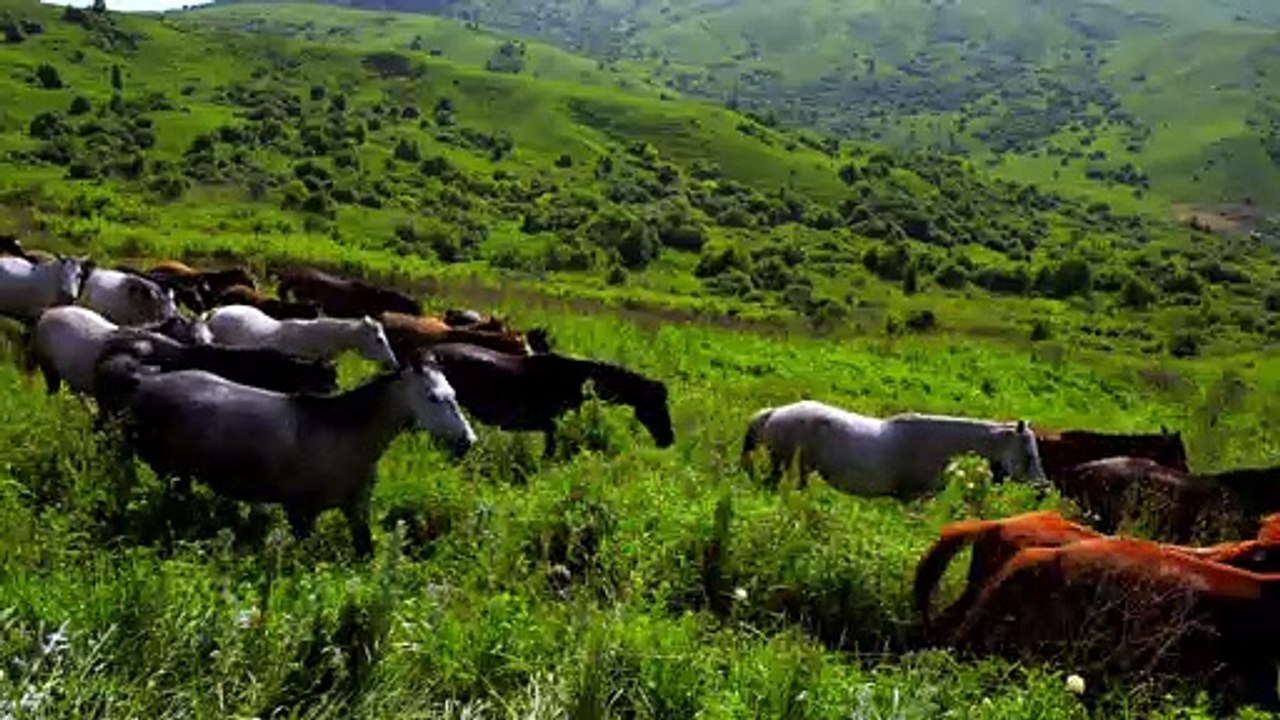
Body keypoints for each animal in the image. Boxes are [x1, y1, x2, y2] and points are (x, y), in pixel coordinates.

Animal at [92, 347, 476, 557]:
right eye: (433, 397)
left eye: (454, 394)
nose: (467, 441)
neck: (341, 436)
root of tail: (143, 380)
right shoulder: (301, 515)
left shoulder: (357, 511)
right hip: (153, 465)